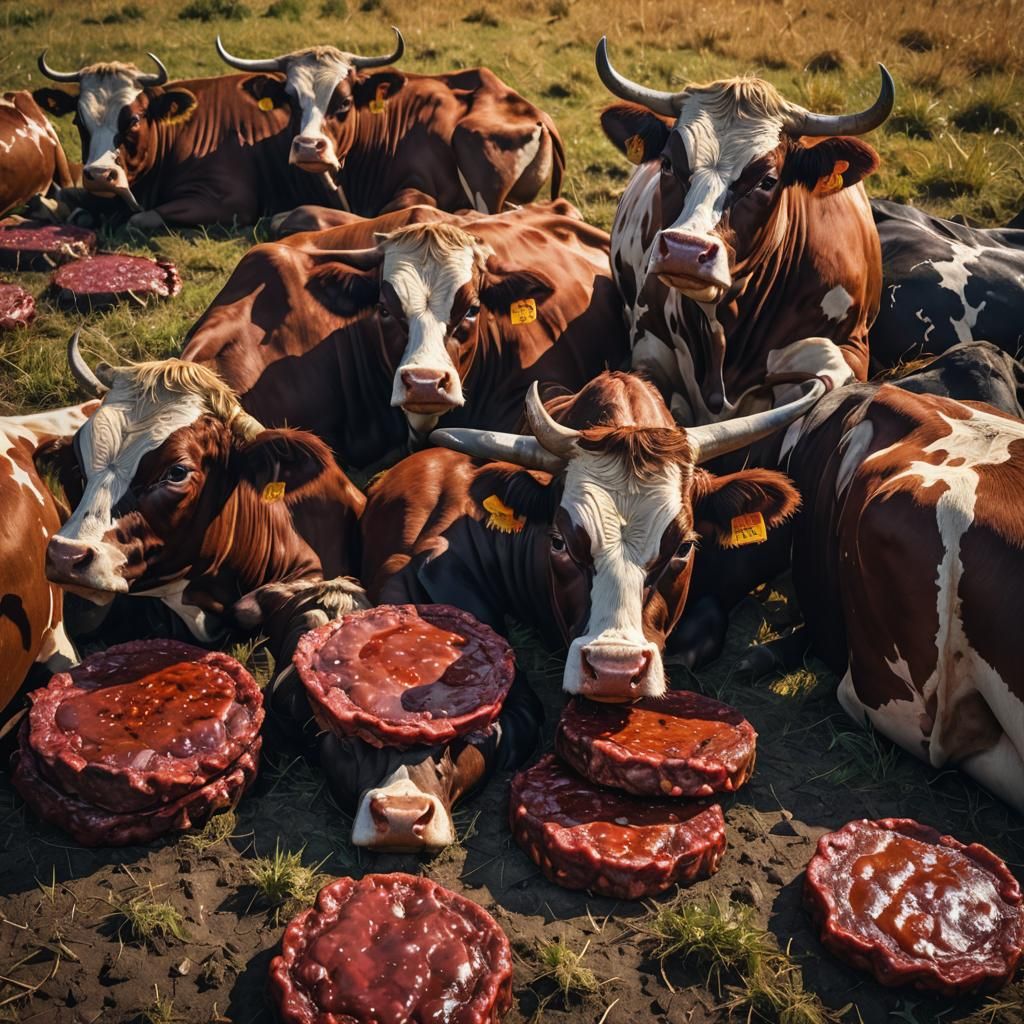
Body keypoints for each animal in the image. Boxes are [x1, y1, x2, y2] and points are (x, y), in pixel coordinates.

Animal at [215, 32, 565, 216]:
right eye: (290, 100)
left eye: (344, 101)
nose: (308, 148)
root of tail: (539, 115)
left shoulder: (419, 189)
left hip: (471, 143)